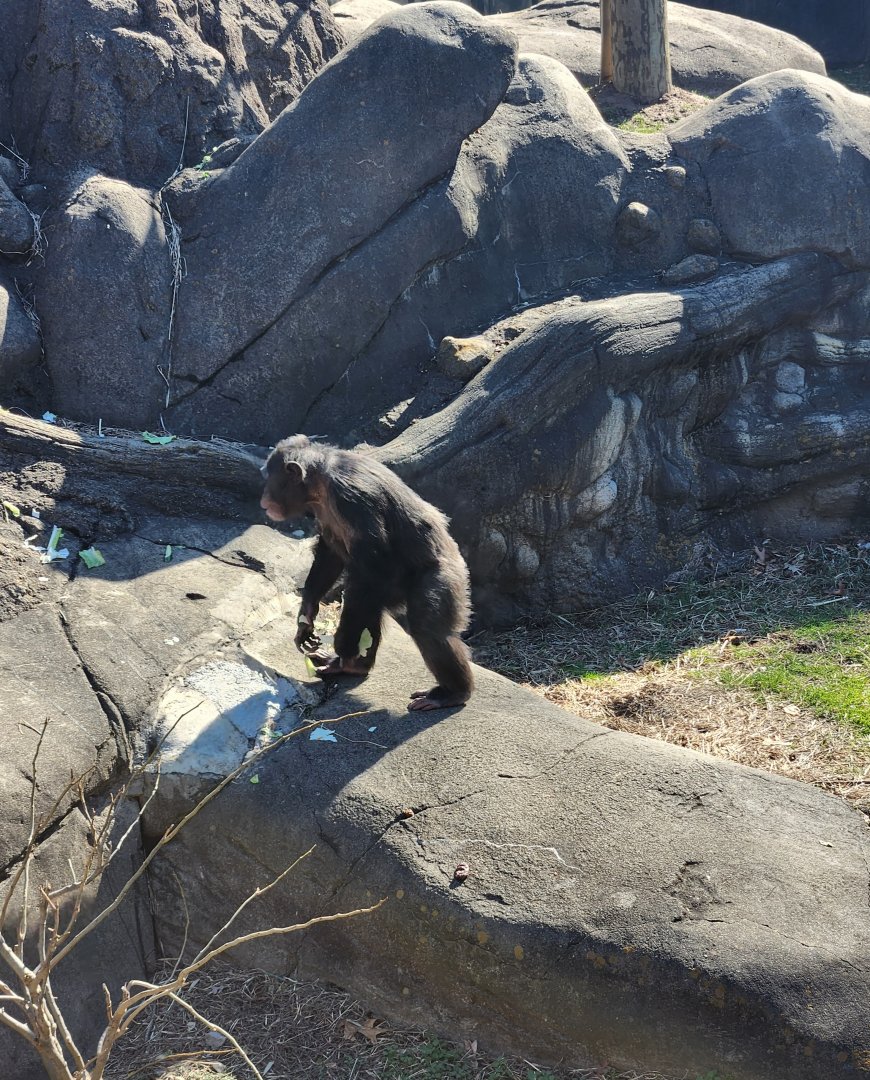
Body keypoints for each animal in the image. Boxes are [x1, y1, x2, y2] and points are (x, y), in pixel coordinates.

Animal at [259, 435, 473, 712]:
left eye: (269, 478)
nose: (263, 495)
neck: (321, 481)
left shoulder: (354, 499)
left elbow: (374, 563)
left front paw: (343, 646)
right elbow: (330, 555)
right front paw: (305, 618)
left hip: (445, 576)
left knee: (425, 628)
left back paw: (451, 693)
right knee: (370, 607)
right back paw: (355, 667)